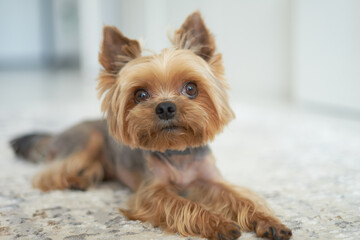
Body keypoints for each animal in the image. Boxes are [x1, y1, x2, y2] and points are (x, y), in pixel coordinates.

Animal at [10, 11, 292, 240]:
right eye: (141, 94)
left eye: (191, 88)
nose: (165, 107)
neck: (178, 151)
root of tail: (57, 134)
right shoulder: (152, 192)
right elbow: (185, 205)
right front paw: (217, 223)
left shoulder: (212, 180)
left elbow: (242, 198)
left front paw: (269, 221)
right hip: (87, 140)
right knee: (48, 174)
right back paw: (75, 179)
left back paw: (87, 176)